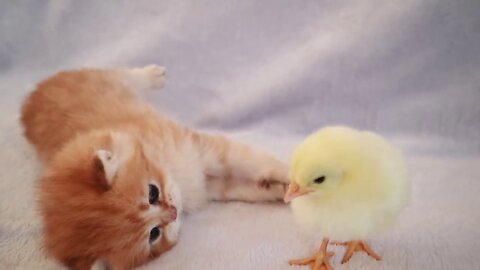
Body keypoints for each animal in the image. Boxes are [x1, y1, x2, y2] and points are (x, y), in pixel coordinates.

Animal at [20, 65, 286, 270]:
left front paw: (286, 172)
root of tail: (32, 98)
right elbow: (241, 186)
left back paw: (153, 74)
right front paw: (276, 188)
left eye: (152, 192)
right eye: (154, 234)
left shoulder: (201, 149)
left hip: (103, 79)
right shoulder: (208, 183)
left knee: (122, 74)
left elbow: (249, 159)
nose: (174, 213)